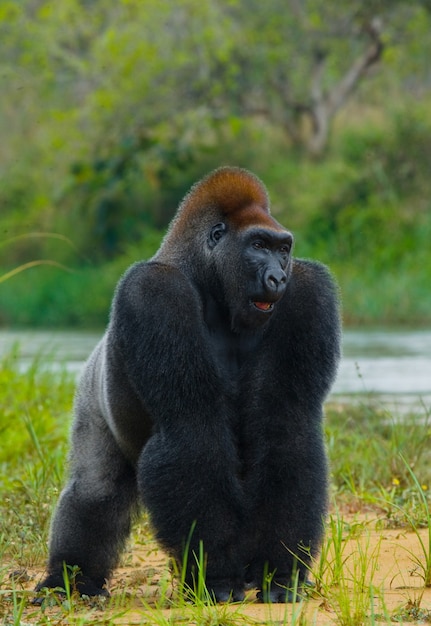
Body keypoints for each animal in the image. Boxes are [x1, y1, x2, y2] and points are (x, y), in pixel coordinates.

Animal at [36, 165, 340, 600]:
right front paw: (216, 576)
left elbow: (287, 428)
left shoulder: (309, 289)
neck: (209, 279)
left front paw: (279, 572)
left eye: (283, 249)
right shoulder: (154, 291)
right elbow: (192, 431)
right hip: (91, 390)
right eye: (258, 245)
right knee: (95, 488)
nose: (278, 277)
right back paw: (70, 579)